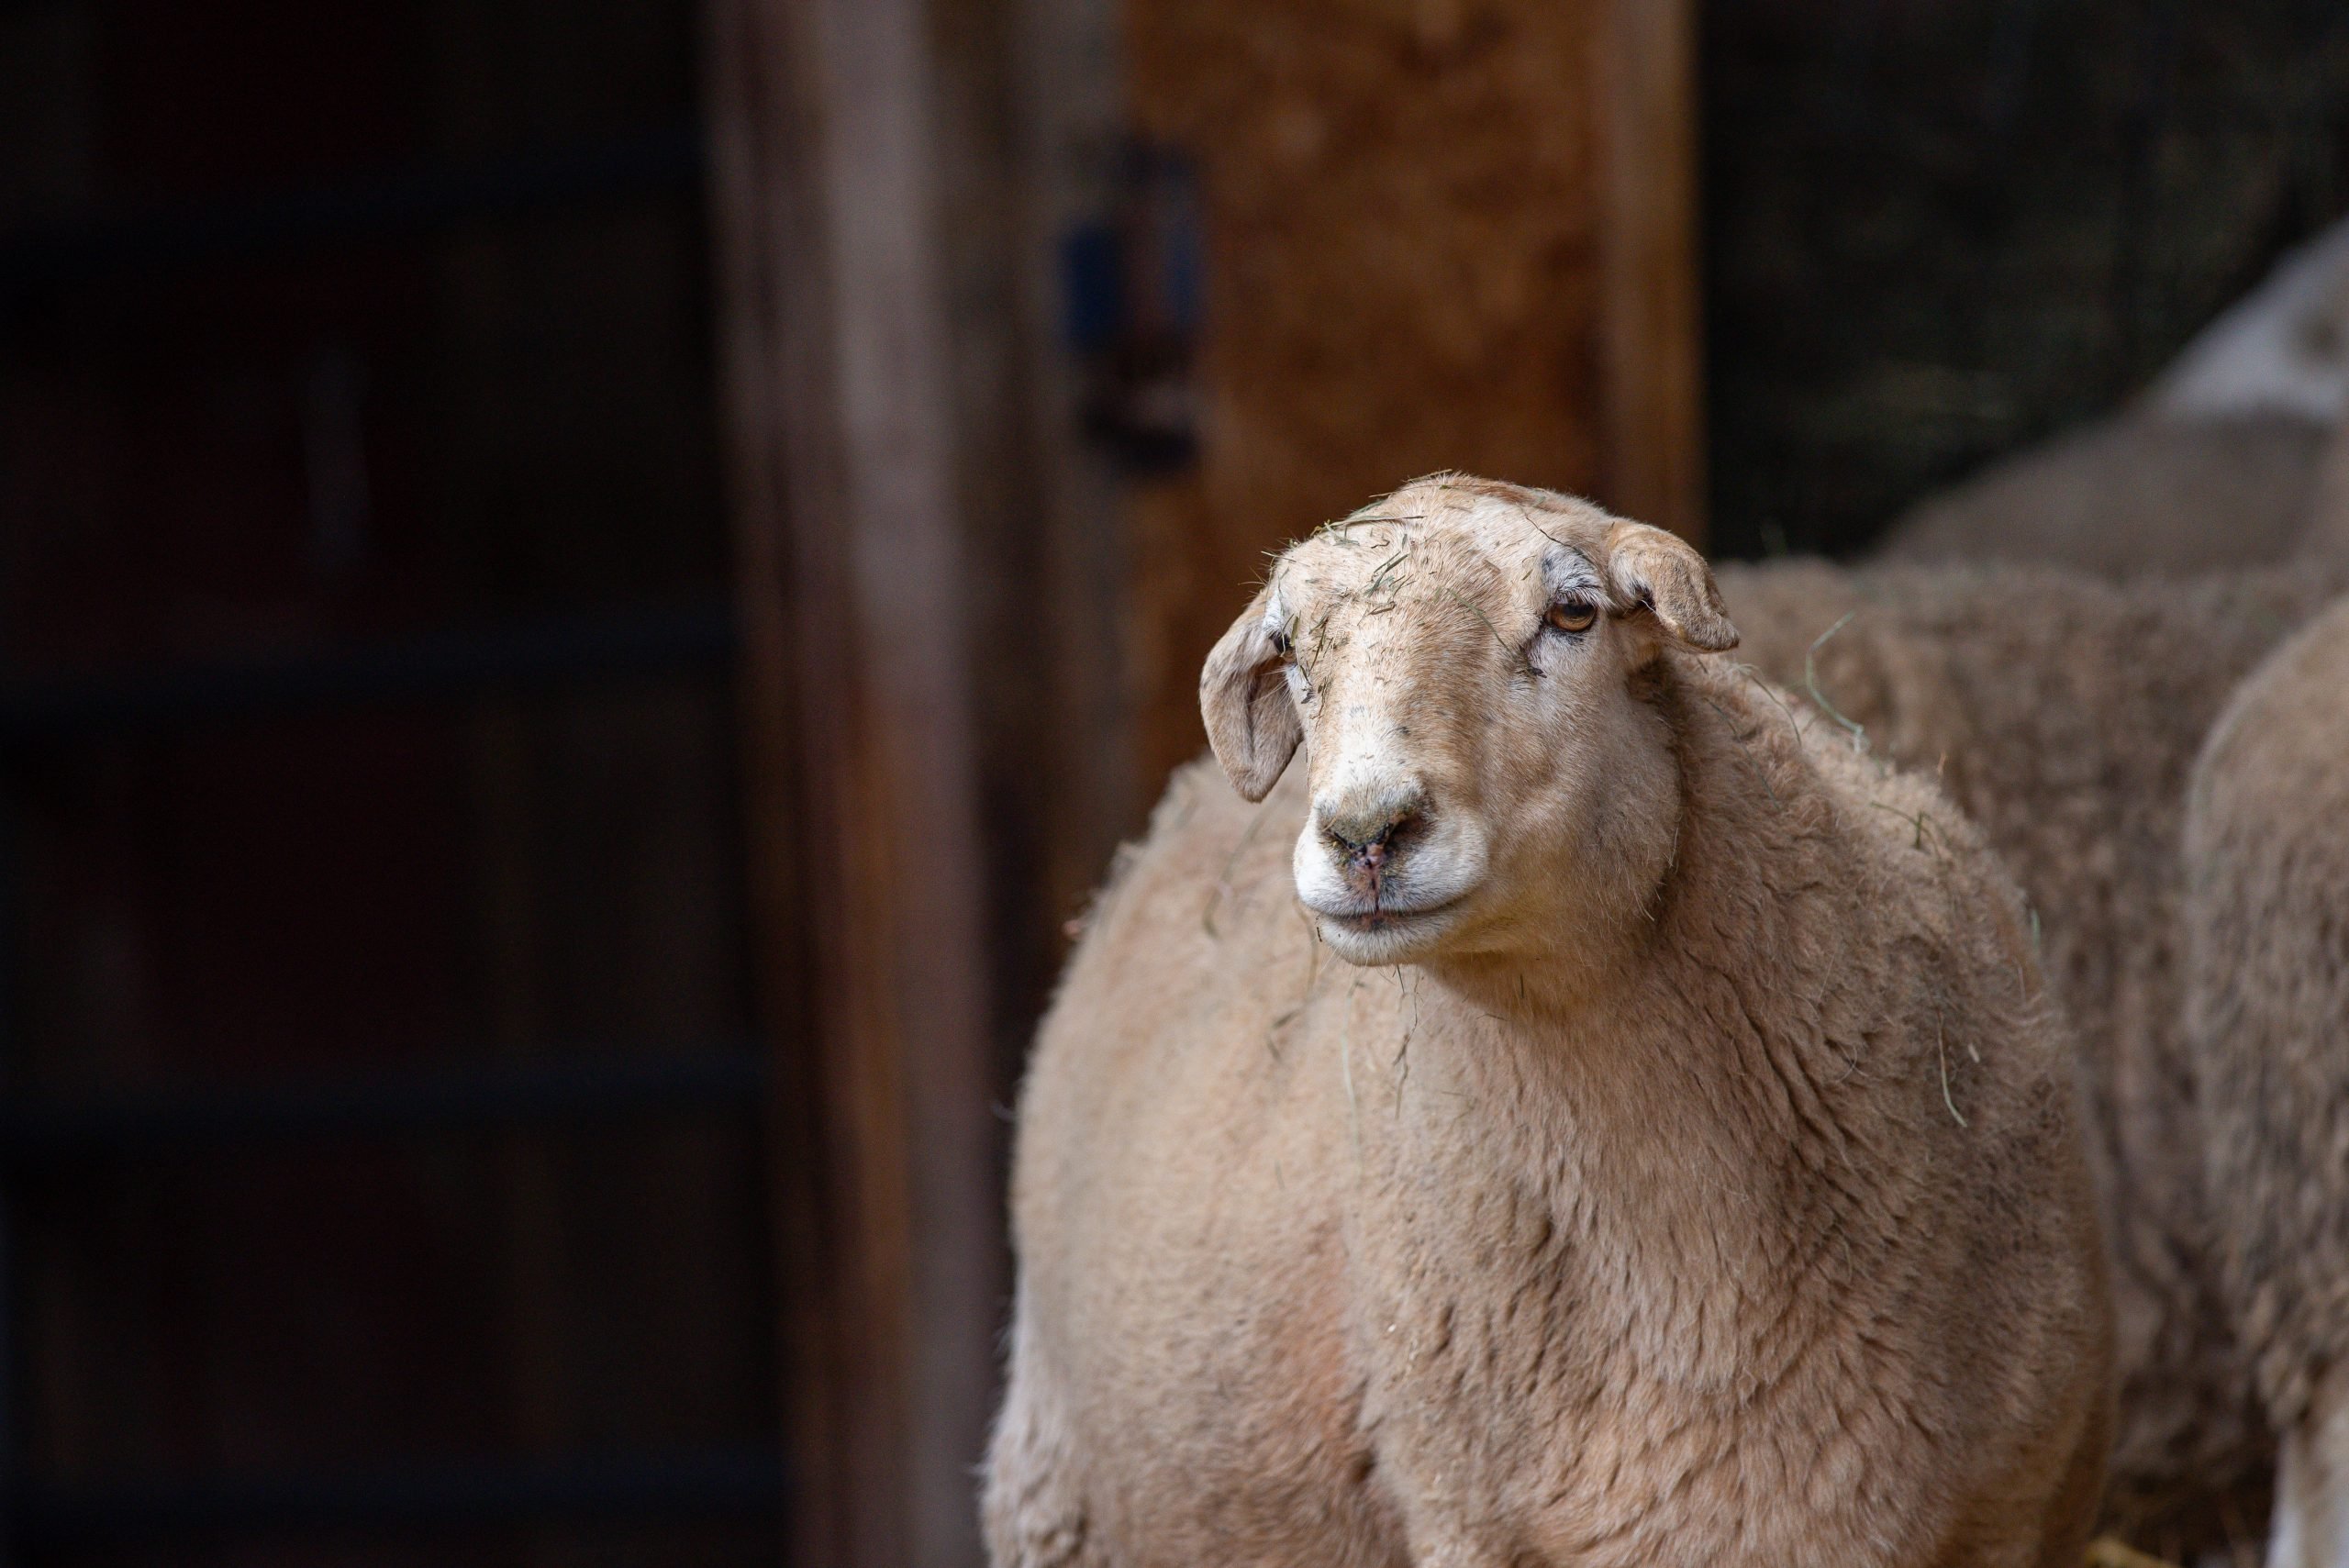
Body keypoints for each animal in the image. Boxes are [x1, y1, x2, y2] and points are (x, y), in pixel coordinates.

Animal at [985, 476, 2113, 1568]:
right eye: (1292, 650)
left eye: (1574, 612)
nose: (1364, 833)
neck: (1690, 1272)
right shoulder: (1462, 1513)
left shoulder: (2010, 1508)